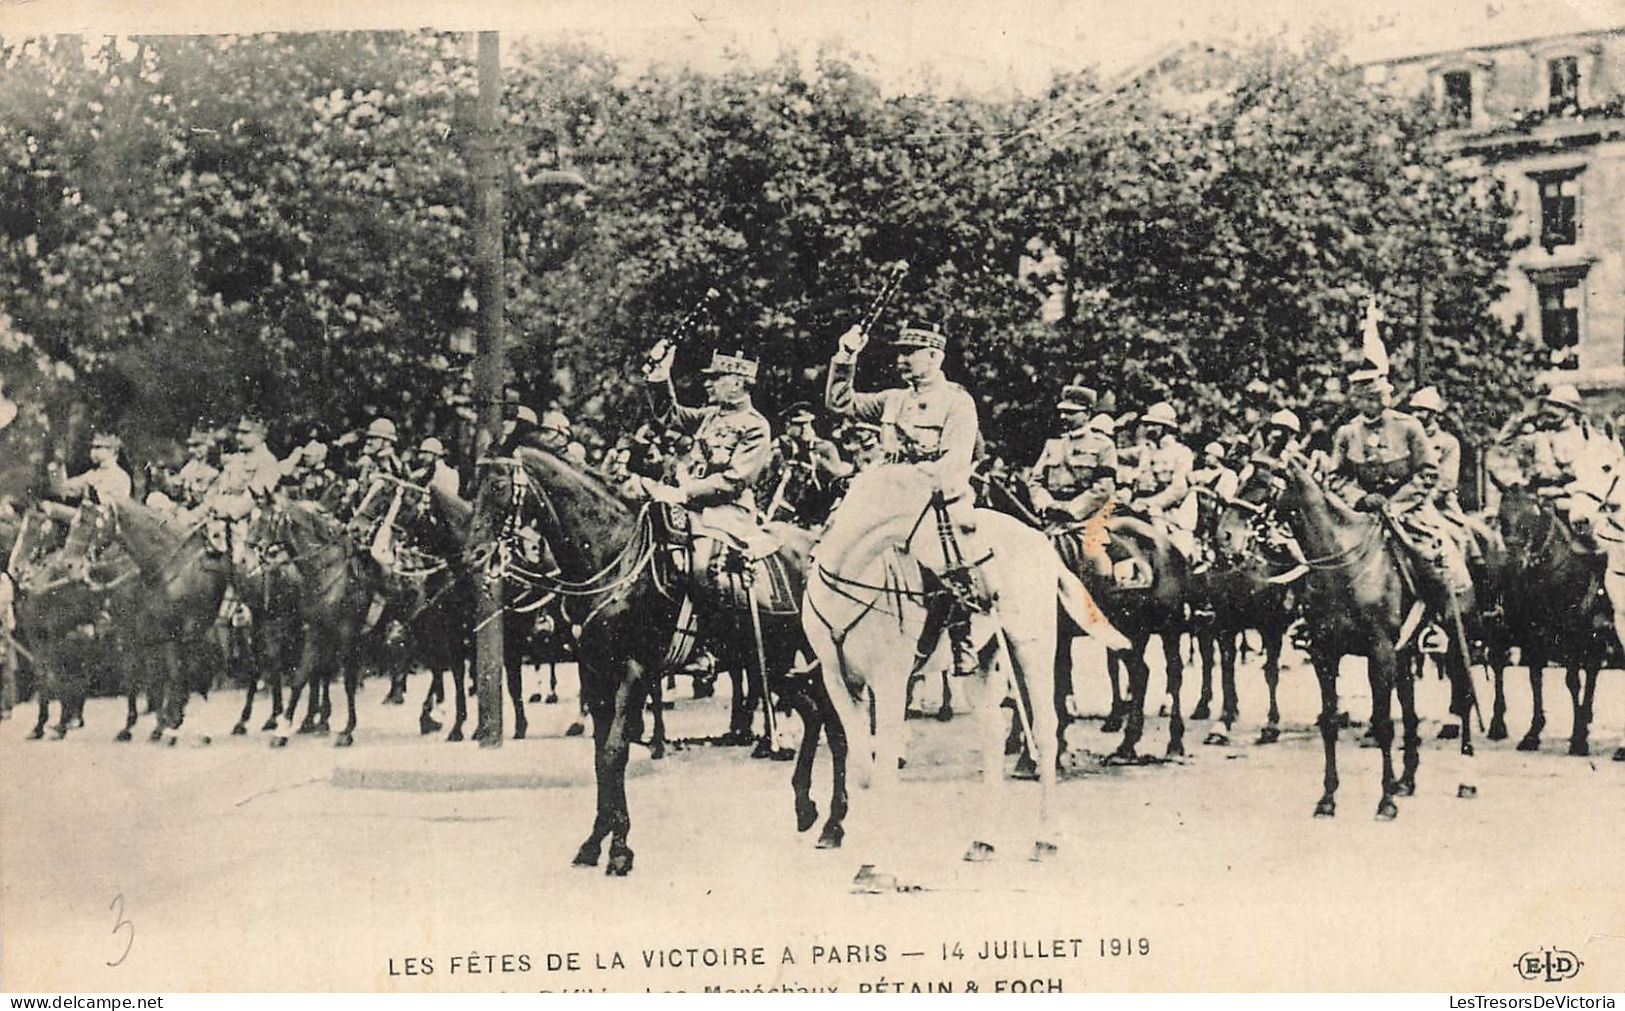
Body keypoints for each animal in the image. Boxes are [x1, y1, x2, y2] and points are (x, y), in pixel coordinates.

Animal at [796, 464, 1118, 877]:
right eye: (966, 528)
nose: (990, 594)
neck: (852, 578)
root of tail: (1039, 541)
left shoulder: (889, 683)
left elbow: (883, 766)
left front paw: (878, 864)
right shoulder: (838, 683)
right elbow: (864, 771)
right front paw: (858, 849)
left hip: (1032, 649)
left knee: (1045, 732)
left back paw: (1046, 839)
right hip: (984, 663)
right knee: (993, 738)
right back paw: (984, 840)